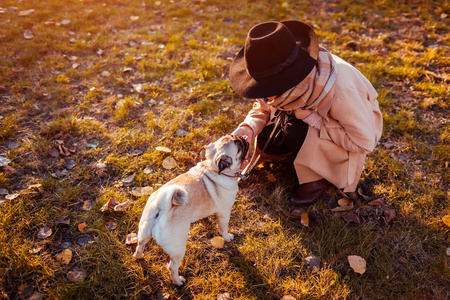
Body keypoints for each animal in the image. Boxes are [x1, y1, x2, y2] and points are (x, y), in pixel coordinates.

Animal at [132, 134, 251, 286]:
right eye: (239, 145)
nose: (241, 136)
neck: (212, 167)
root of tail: (161, 206)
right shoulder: (225, 212)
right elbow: (223, 228)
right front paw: (227, 237)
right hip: (178, 248)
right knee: (172, 267)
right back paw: (178, 282)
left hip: (143, 232)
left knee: (139, 245)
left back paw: (140, 257)